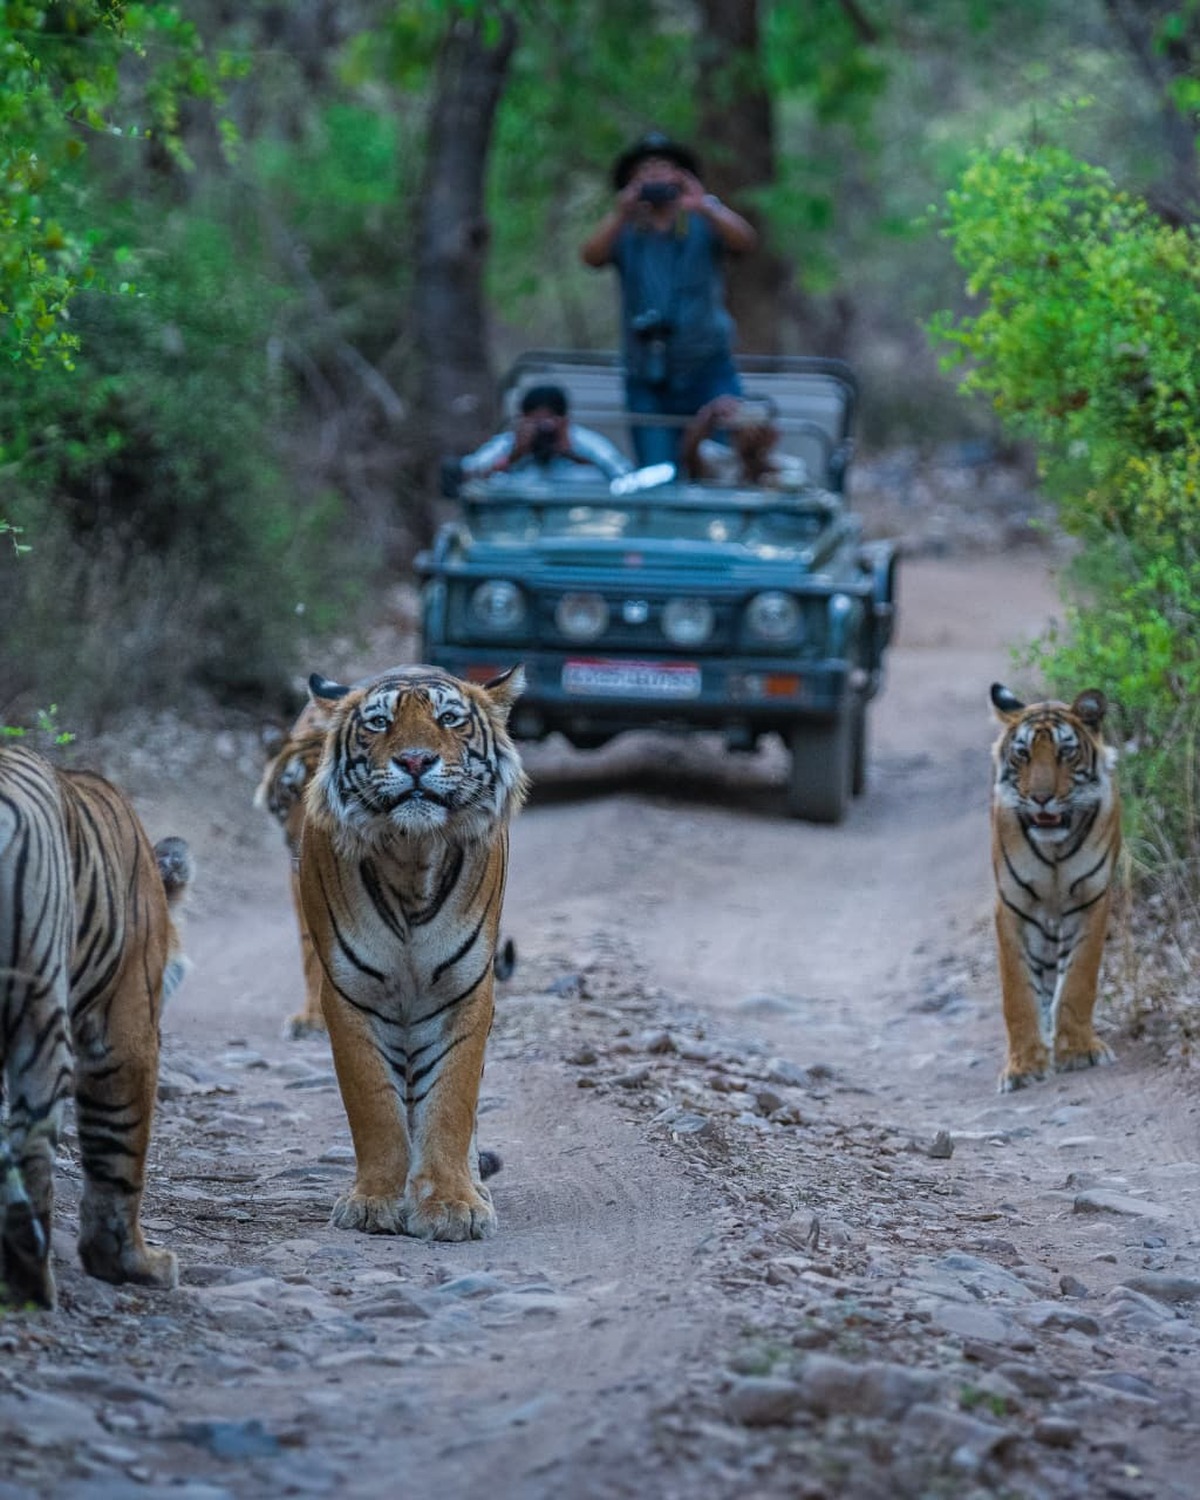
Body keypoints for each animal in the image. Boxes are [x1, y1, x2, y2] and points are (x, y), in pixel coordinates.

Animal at [0, 745, 192, 1308]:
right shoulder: (129, 1027)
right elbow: (120, 1151)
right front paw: (130, 1263)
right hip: (40, 1012)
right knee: (31, 1148)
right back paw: (32, 1284)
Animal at [298, 664, 527, 1241]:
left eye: (449, 719)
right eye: (379, 724)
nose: (417, 761)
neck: (411, 855)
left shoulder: (464, 992)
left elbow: (450, 1102)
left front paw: (452, 1205)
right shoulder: (350, 994)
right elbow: (374, 1104)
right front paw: (374, 1202)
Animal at [990, 683, 1122, 1093]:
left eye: (1066, 752)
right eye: (1023, 754)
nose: (1041, 798)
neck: (1054, 850)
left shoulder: (1092, 900)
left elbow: (1079, 979)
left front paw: (1078, 1051)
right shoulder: (1012, 906)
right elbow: (1017, 992)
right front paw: (1023, 1066)